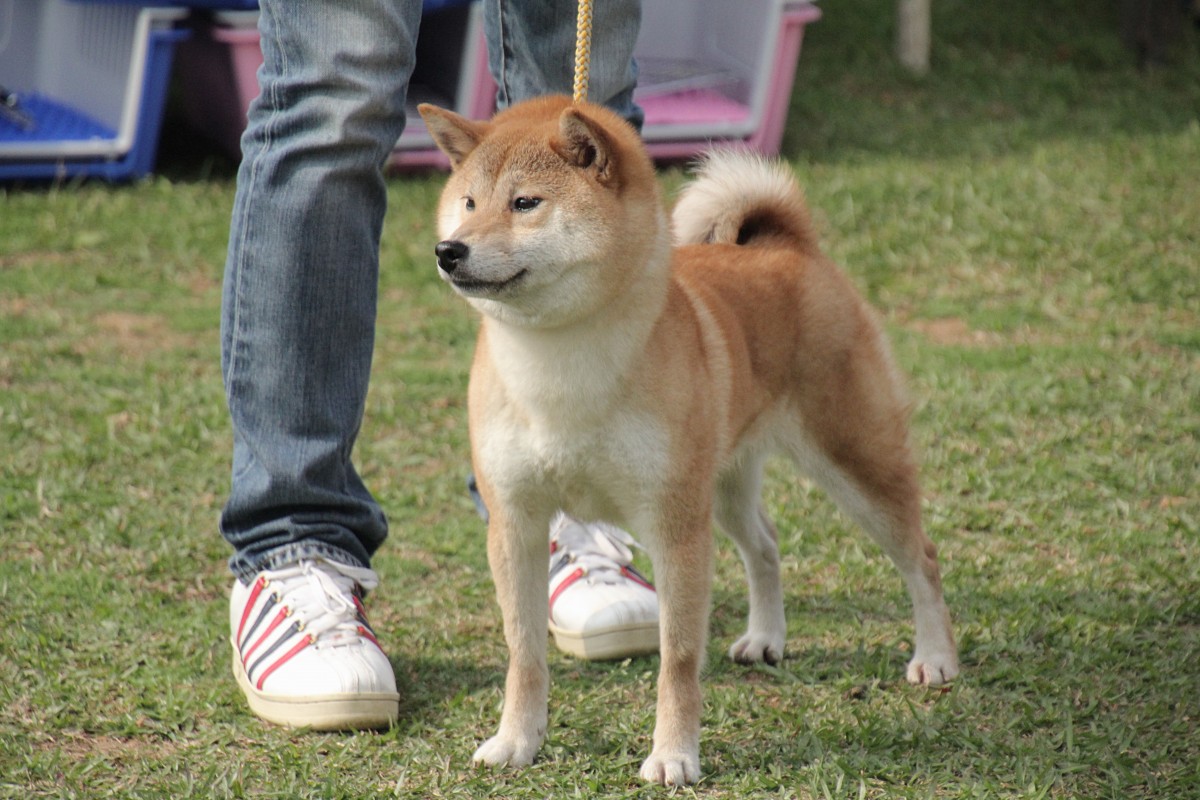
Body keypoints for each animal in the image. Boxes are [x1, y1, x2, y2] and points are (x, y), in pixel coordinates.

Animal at [417, 95, 960, 786]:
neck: (558, 364)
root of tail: (791, 246)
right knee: (766, 544)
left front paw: (674, 755)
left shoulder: (675, 528)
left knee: (921, 556)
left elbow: (677, 658)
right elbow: (524, 650)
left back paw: (936, 657)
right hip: (723, 490)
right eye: (467, 202)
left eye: (525, 203)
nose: (448, 250)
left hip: (853, 461)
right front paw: (517, 740)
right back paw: (767, 638)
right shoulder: (515, 522)